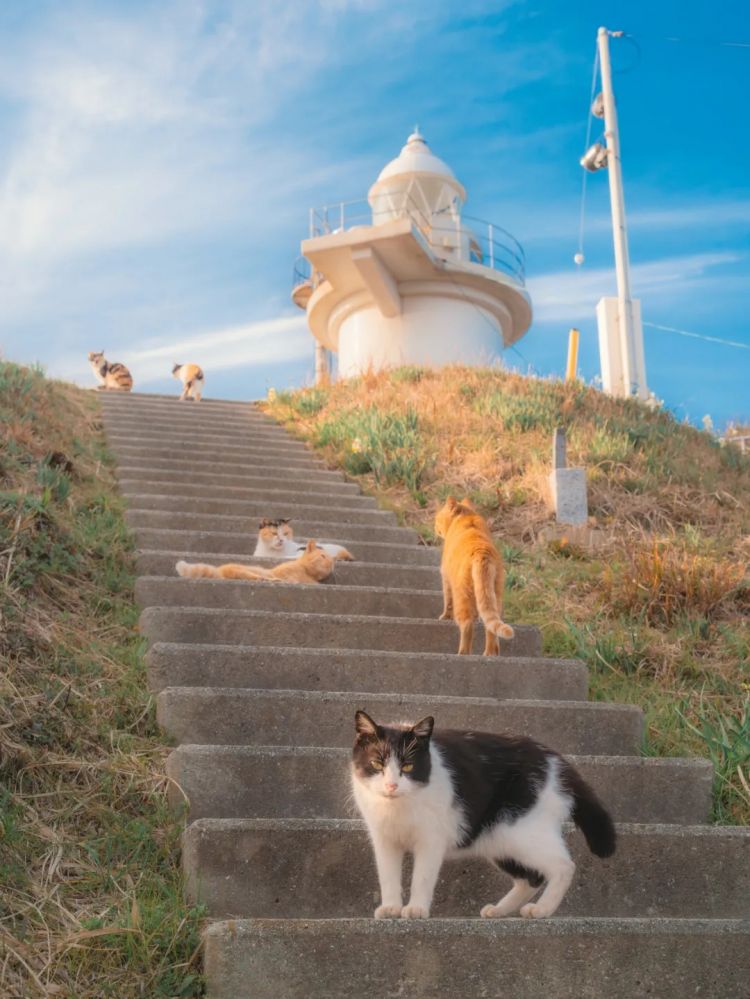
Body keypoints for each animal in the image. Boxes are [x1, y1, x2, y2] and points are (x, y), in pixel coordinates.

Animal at [176, 540, 334, 584]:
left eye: (332, 559)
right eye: (323, 556)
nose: (332, 563)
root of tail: (219, 571)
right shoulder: (284, 572)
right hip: (247, 570)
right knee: (254, 576)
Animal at [352, 712, 616, 920]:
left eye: (407, 766)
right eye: (377, 764)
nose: (391, 786)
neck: (397, 807)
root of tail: (558, 761)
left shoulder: (431, 839)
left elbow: (422, 876)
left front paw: (416, 909)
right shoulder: (384, 840)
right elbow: (387, 875)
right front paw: (390, 908)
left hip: (522, 830)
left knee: (563, 866)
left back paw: (541, 910)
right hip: (498, 838)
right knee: (530, 878)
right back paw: (499, 910)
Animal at [434, 498, 516, 656]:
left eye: (437, 519)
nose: (434, 527)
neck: (466, 517)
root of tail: (481, 553)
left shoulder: (445, 577)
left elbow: (447, 602)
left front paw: (444, 617)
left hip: (462, 596)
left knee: (467, 625)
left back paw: (462, 653)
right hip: (496, 595)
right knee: (490, 628)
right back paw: (490, 654)